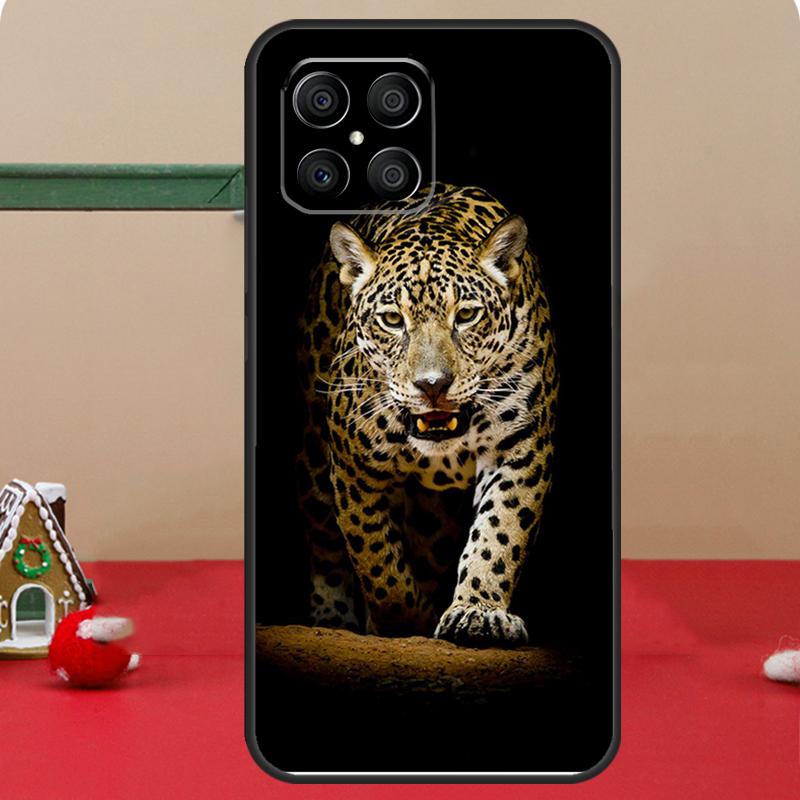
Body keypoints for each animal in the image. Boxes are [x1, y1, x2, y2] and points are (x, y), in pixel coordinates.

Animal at [295, 183, 557, 647]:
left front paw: (477, 612)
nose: (432, 384)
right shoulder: (353, 467)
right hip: (312, 460)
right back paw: (331, 617)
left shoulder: (521, 448)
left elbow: (500, 531)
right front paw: (403, 621)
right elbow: (376, 558)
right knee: (325, 543)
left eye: (466, 315)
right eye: (392, 319)